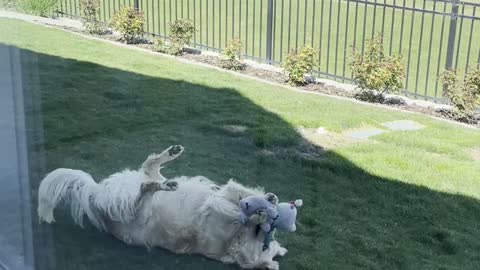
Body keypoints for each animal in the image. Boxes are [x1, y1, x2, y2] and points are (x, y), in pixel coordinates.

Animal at [37, 147, 288, 268]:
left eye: (264, 247)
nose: (272, 224)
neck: (234, 240)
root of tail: (94, 193)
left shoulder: (220, 209)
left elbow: (236, 202)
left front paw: (258, 211)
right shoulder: (222, 201)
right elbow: (240, 193)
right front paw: (267, 201)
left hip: (138, 214)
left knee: (145, 188)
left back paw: (162, 184)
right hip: (147, 189)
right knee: (150, 168)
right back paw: (170, 155)